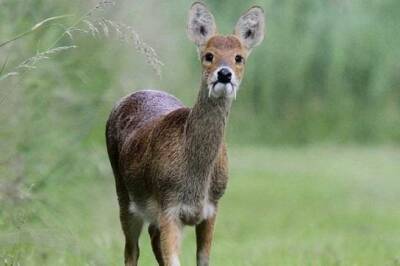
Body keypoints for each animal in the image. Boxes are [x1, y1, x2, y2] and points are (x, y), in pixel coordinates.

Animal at [105, 2, 266, 266]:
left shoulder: (211, 208)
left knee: (151, 236)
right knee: (131, 249)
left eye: (239, 57)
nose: (224, 74)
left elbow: (202, 258)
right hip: (125, 193)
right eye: (208, 55)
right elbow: (172, 258)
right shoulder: (169, 205)